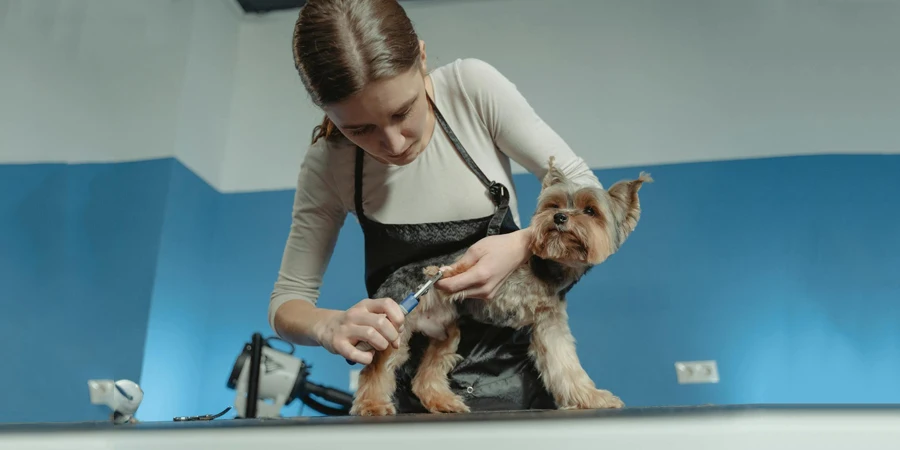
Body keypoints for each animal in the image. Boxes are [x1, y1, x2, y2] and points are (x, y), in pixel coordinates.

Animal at [348, 157, 652, 414]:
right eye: (553, 206)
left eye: (590, 211)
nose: (559, 217)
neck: (546, 266)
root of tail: (390, 280)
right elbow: (458, 266)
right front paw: (438, 270)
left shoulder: (549, 322)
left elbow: (565, 364)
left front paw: (592, 398)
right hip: (394, 325)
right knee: (376, 368)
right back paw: (372, 406)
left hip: (446, 332)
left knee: (426, 374)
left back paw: (444, 402)